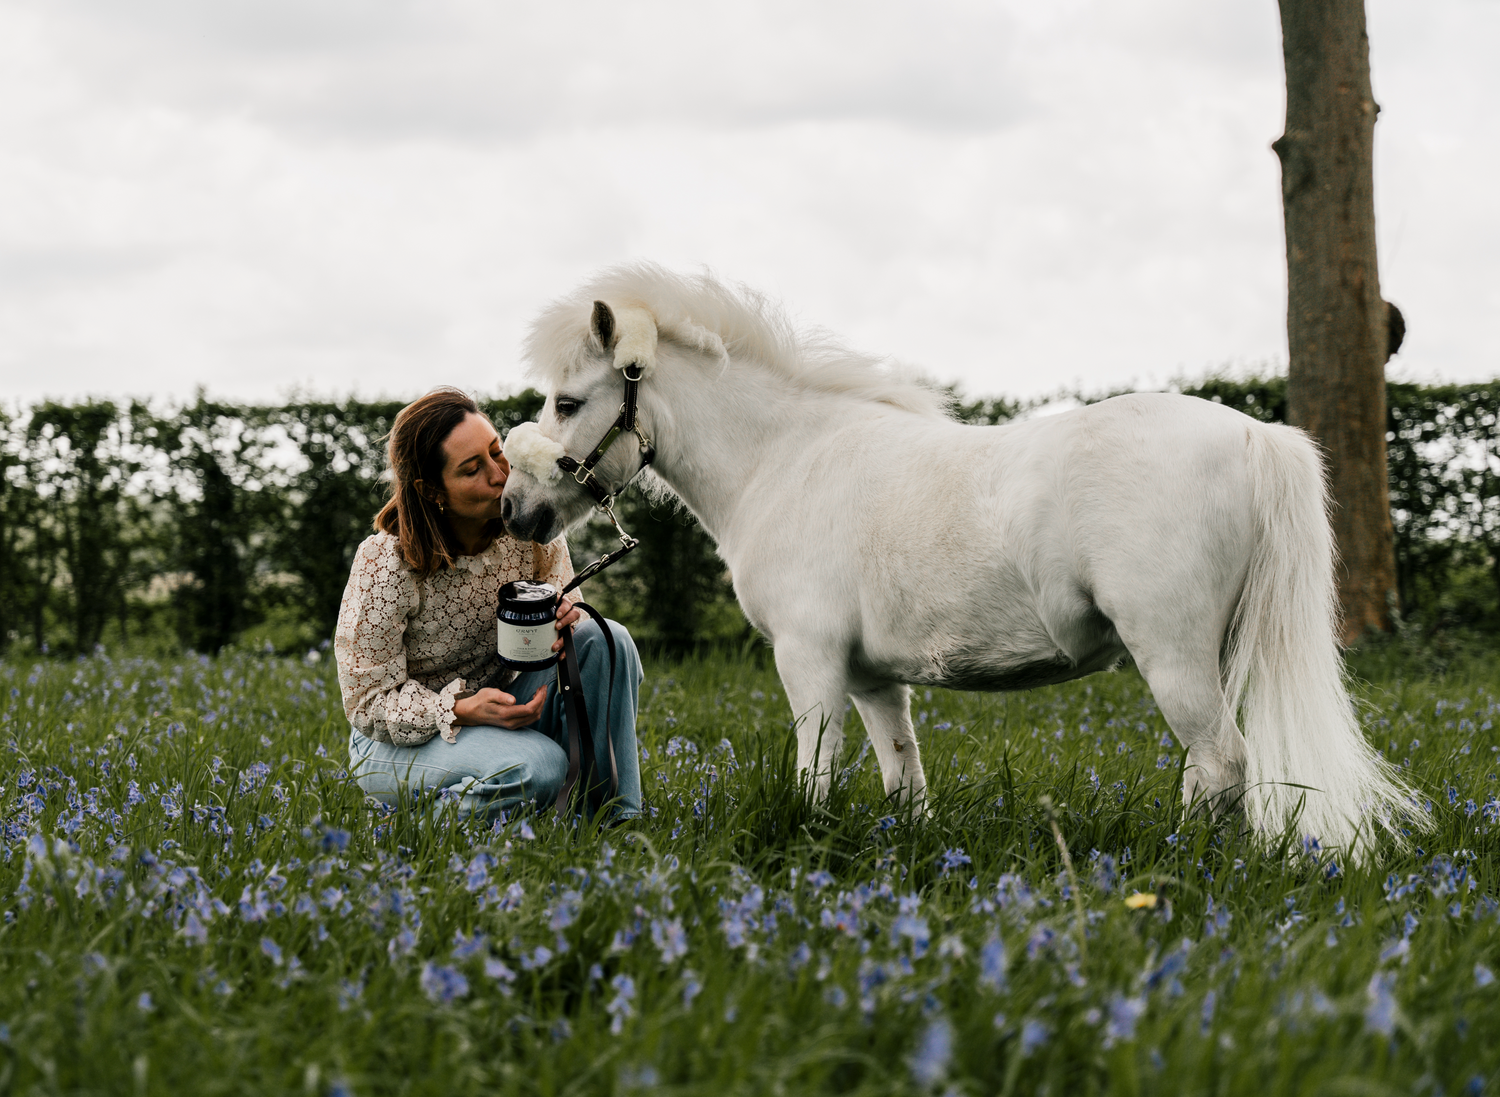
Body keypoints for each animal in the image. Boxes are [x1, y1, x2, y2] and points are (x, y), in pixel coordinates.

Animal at [500, 263, 1421, 860]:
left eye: (568, 402)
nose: (517, 509)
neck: (787, 458)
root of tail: (1254, 433)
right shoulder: (873, 678)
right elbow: (902, 776)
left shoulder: (809, 659)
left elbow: (814, 771)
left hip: (1175, 654)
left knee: (1221, 763)